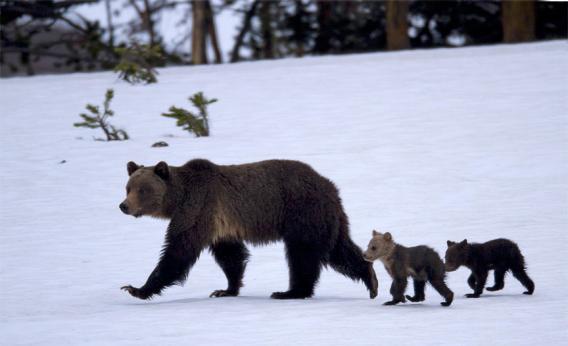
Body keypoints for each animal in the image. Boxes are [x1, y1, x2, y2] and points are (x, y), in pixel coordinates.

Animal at [119, 158, 378, 298]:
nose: (123, 206)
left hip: (302, 213)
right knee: (340, 250)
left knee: (302, 256)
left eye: (142, 189)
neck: (177, 199)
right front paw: (226, 289)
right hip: (328, 219)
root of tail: (330, 187)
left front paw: (136, 288)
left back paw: (289, 292)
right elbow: (230, 256)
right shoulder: (221, 226)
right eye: (128, 187)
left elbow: (179, 250)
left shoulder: (199, 208)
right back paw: (371, 279)